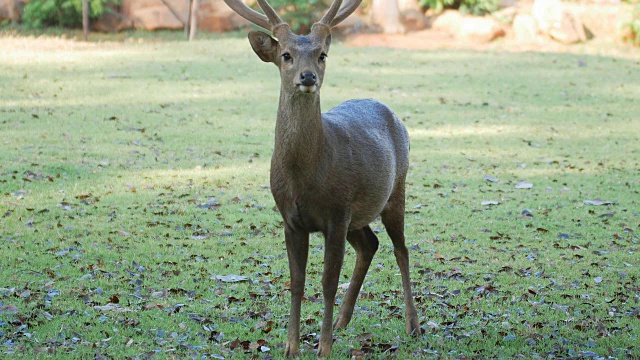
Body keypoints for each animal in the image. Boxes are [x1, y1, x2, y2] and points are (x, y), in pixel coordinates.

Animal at [222, 0, 422, 356]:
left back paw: (413, 325)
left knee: (402, 250)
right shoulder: (291, 219)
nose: (307, 76)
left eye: (322, 55)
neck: (305, 180)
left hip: (395, 189)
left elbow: (328, 283)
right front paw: (291, 345)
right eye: (286, 54)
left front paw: (323, 347)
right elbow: (296, 282)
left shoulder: (337, 213)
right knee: (370, 244)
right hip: (359, 214)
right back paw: (343, 320)